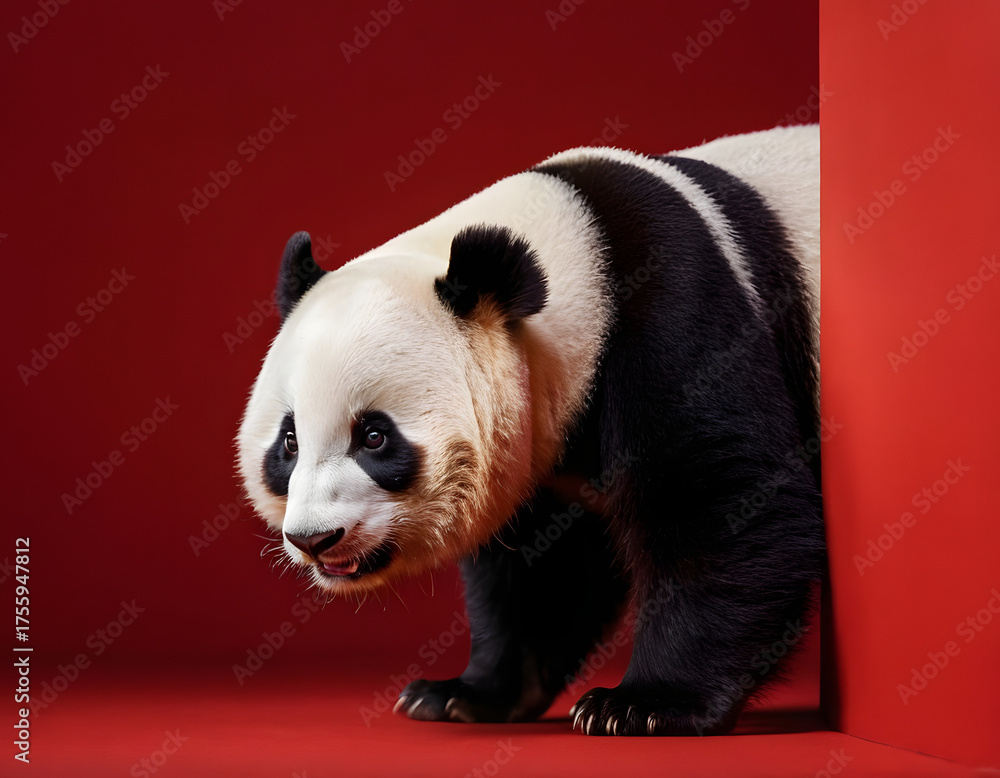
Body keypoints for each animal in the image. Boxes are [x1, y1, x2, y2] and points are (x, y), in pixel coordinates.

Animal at [237, 125, 823, 737]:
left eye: (374, 436)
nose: (315, 539)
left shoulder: (675, 310)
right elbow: (542, 566)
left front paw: (642, 705)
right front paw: (465, 694)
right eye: (289, 442)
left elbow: (725, 500)